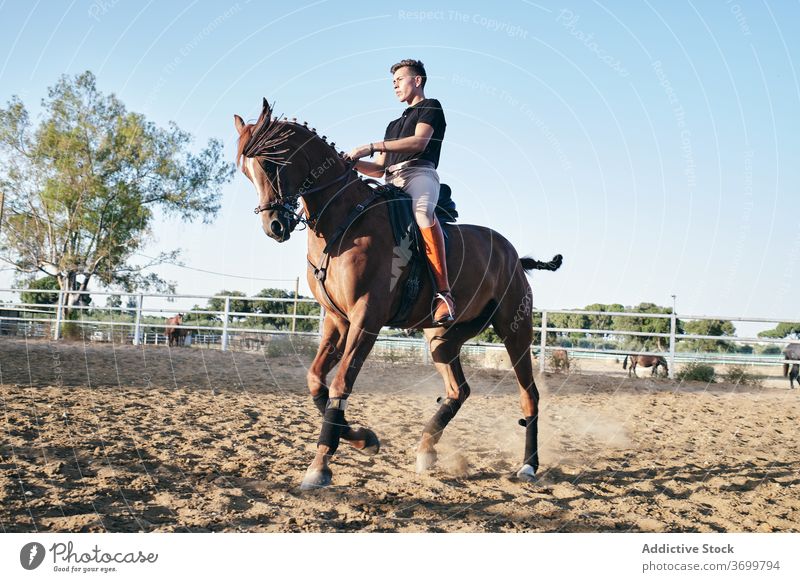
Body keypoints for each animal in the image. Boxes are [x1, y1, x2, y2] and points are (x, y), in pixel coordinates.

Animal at [234, 101, 564, 492]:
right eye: (247, 172)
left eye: (271, 163)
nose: (275, 227)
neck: (343, 221)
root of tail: (513, 255)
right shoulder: (338, 320)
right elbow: (317, 382)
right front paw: (364, 439)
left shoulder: (366, 319)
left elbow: (341, 382)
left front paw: (320, 466)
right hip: (442, 338)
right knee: (459, 390)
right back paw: (426, 449)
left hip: (515, 330)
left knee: (529, 396)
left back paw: (528, 465)